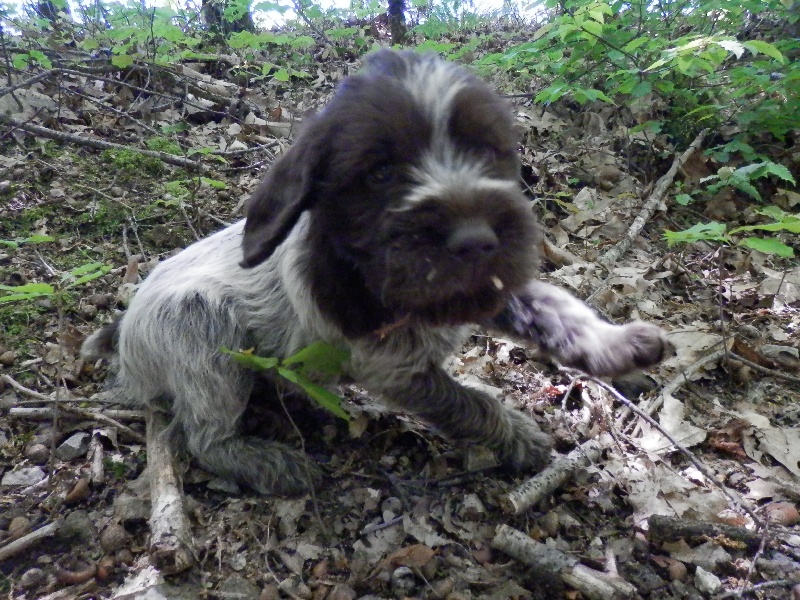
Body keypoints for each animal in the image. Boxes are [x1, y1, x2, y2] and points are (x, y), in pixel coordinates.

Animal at [81, 49, 668, 494]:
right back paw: (265, 461)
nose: (475, 240)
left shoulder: (479, 284)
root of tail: (122, 326)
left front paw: (616, 347)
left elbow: (554, 307)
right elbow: (472, 403)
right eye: (382, 172)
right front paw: (518, 436)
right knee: (203, 436)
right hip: (202, 327)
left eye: (486, 151)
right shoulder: (395, 367)